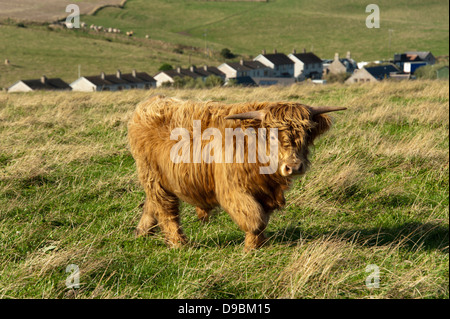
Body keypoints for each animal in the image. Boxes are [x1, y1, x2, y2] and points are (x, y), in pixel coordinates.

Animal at [126, 96, 344, 251]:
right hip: (153, 176)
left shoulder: (265, 192)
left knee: (152, 204)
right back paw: (179, 243)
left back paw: (142, 232)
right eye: (273, 135)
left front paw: (258, 244)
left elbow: (262, 219)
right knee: (167, 210)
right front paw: (251, 248)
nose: (294, 166)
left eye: (306, 134)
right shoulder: (233, 190)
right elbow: (254, 219)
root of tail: (150, 103)